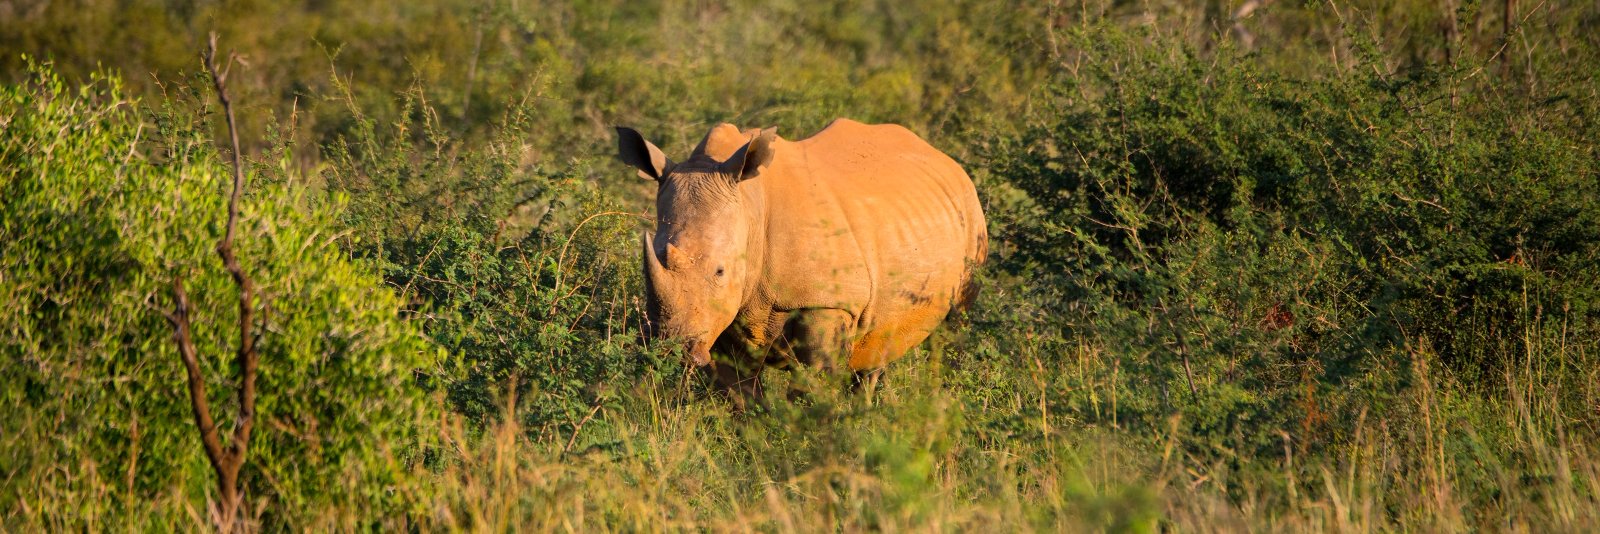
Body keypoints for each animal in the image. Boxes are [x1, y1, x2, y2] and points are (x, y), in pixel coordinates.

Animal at [616, 118, 987, 406]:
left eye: (720, 271)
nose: (672, 351)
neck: (751, 207)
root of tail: (945, 159)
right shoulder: (724, 311)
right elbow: (738, 394)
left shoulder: (827, 302)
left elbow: (811, 388)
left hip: (971, 218)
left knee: (952, 328)